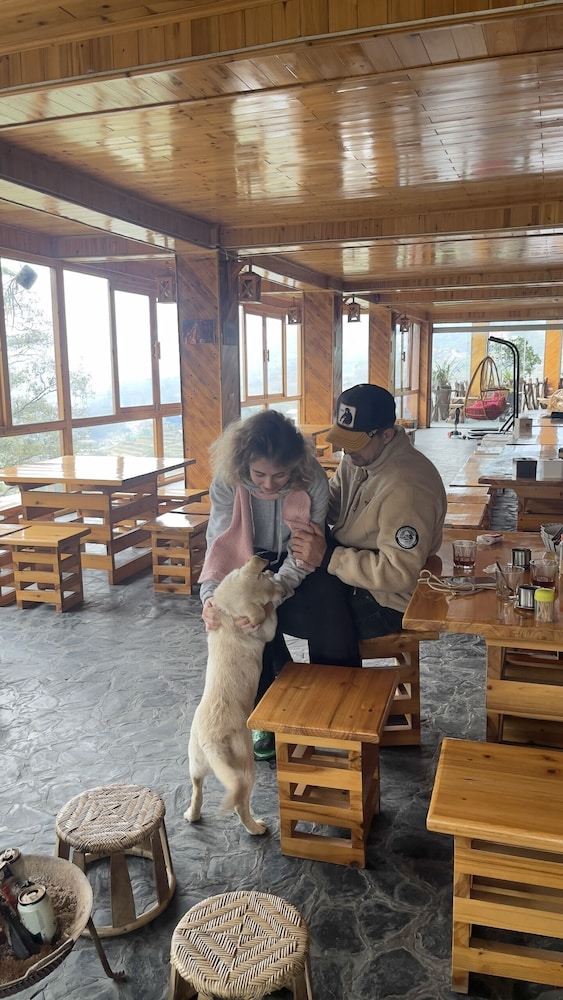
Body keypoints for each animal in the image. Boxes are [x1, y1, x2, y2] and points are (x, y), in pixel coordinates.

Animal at [184, 555, 284, 835]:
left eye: (269, 575)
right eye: (270, 594)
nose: (285, 591)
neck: (228, 614)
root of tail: (210, 741)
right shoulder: (264, 630)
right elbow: (268, 621)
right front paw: (272, 608)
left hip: (194, 763)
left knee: (197, 791)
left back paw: (192, 815)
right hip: (244, 764)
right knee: (240, 803)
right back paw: (256, 827)